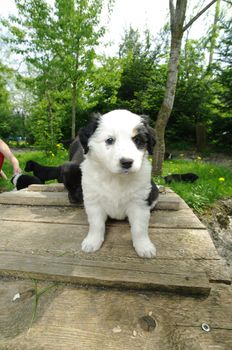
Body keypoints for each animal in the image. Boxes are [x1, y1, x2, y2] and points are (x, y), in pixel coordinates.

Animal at [79, 110, 159, 258]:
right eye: (110, 140)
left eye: (137, 140)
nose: (127, 162)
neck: (116, 178)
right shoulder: (93, 201)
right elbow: (96, 224)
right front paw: (92, 242)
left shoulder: (139, 203)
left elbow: (139, 228)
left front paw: (144, 246)